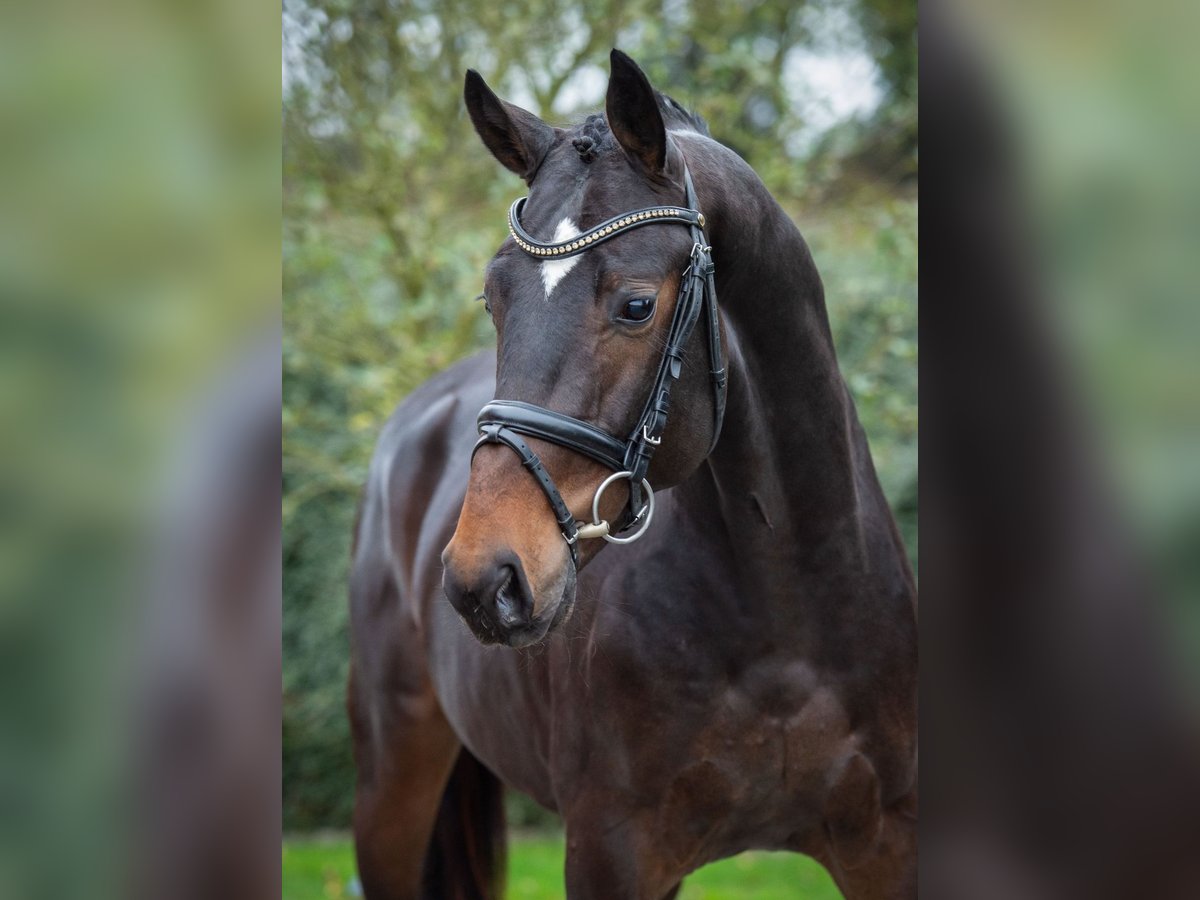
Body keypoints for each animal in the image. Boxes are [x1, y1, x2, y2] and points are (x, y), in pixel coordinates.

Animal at [350, 52, 916, 897]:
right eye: (492, 297)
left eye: (637, 305)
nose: (486, 579)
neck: (786, 608)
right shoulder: (609, 850)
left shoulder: (888, 845)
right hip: (391, 784)